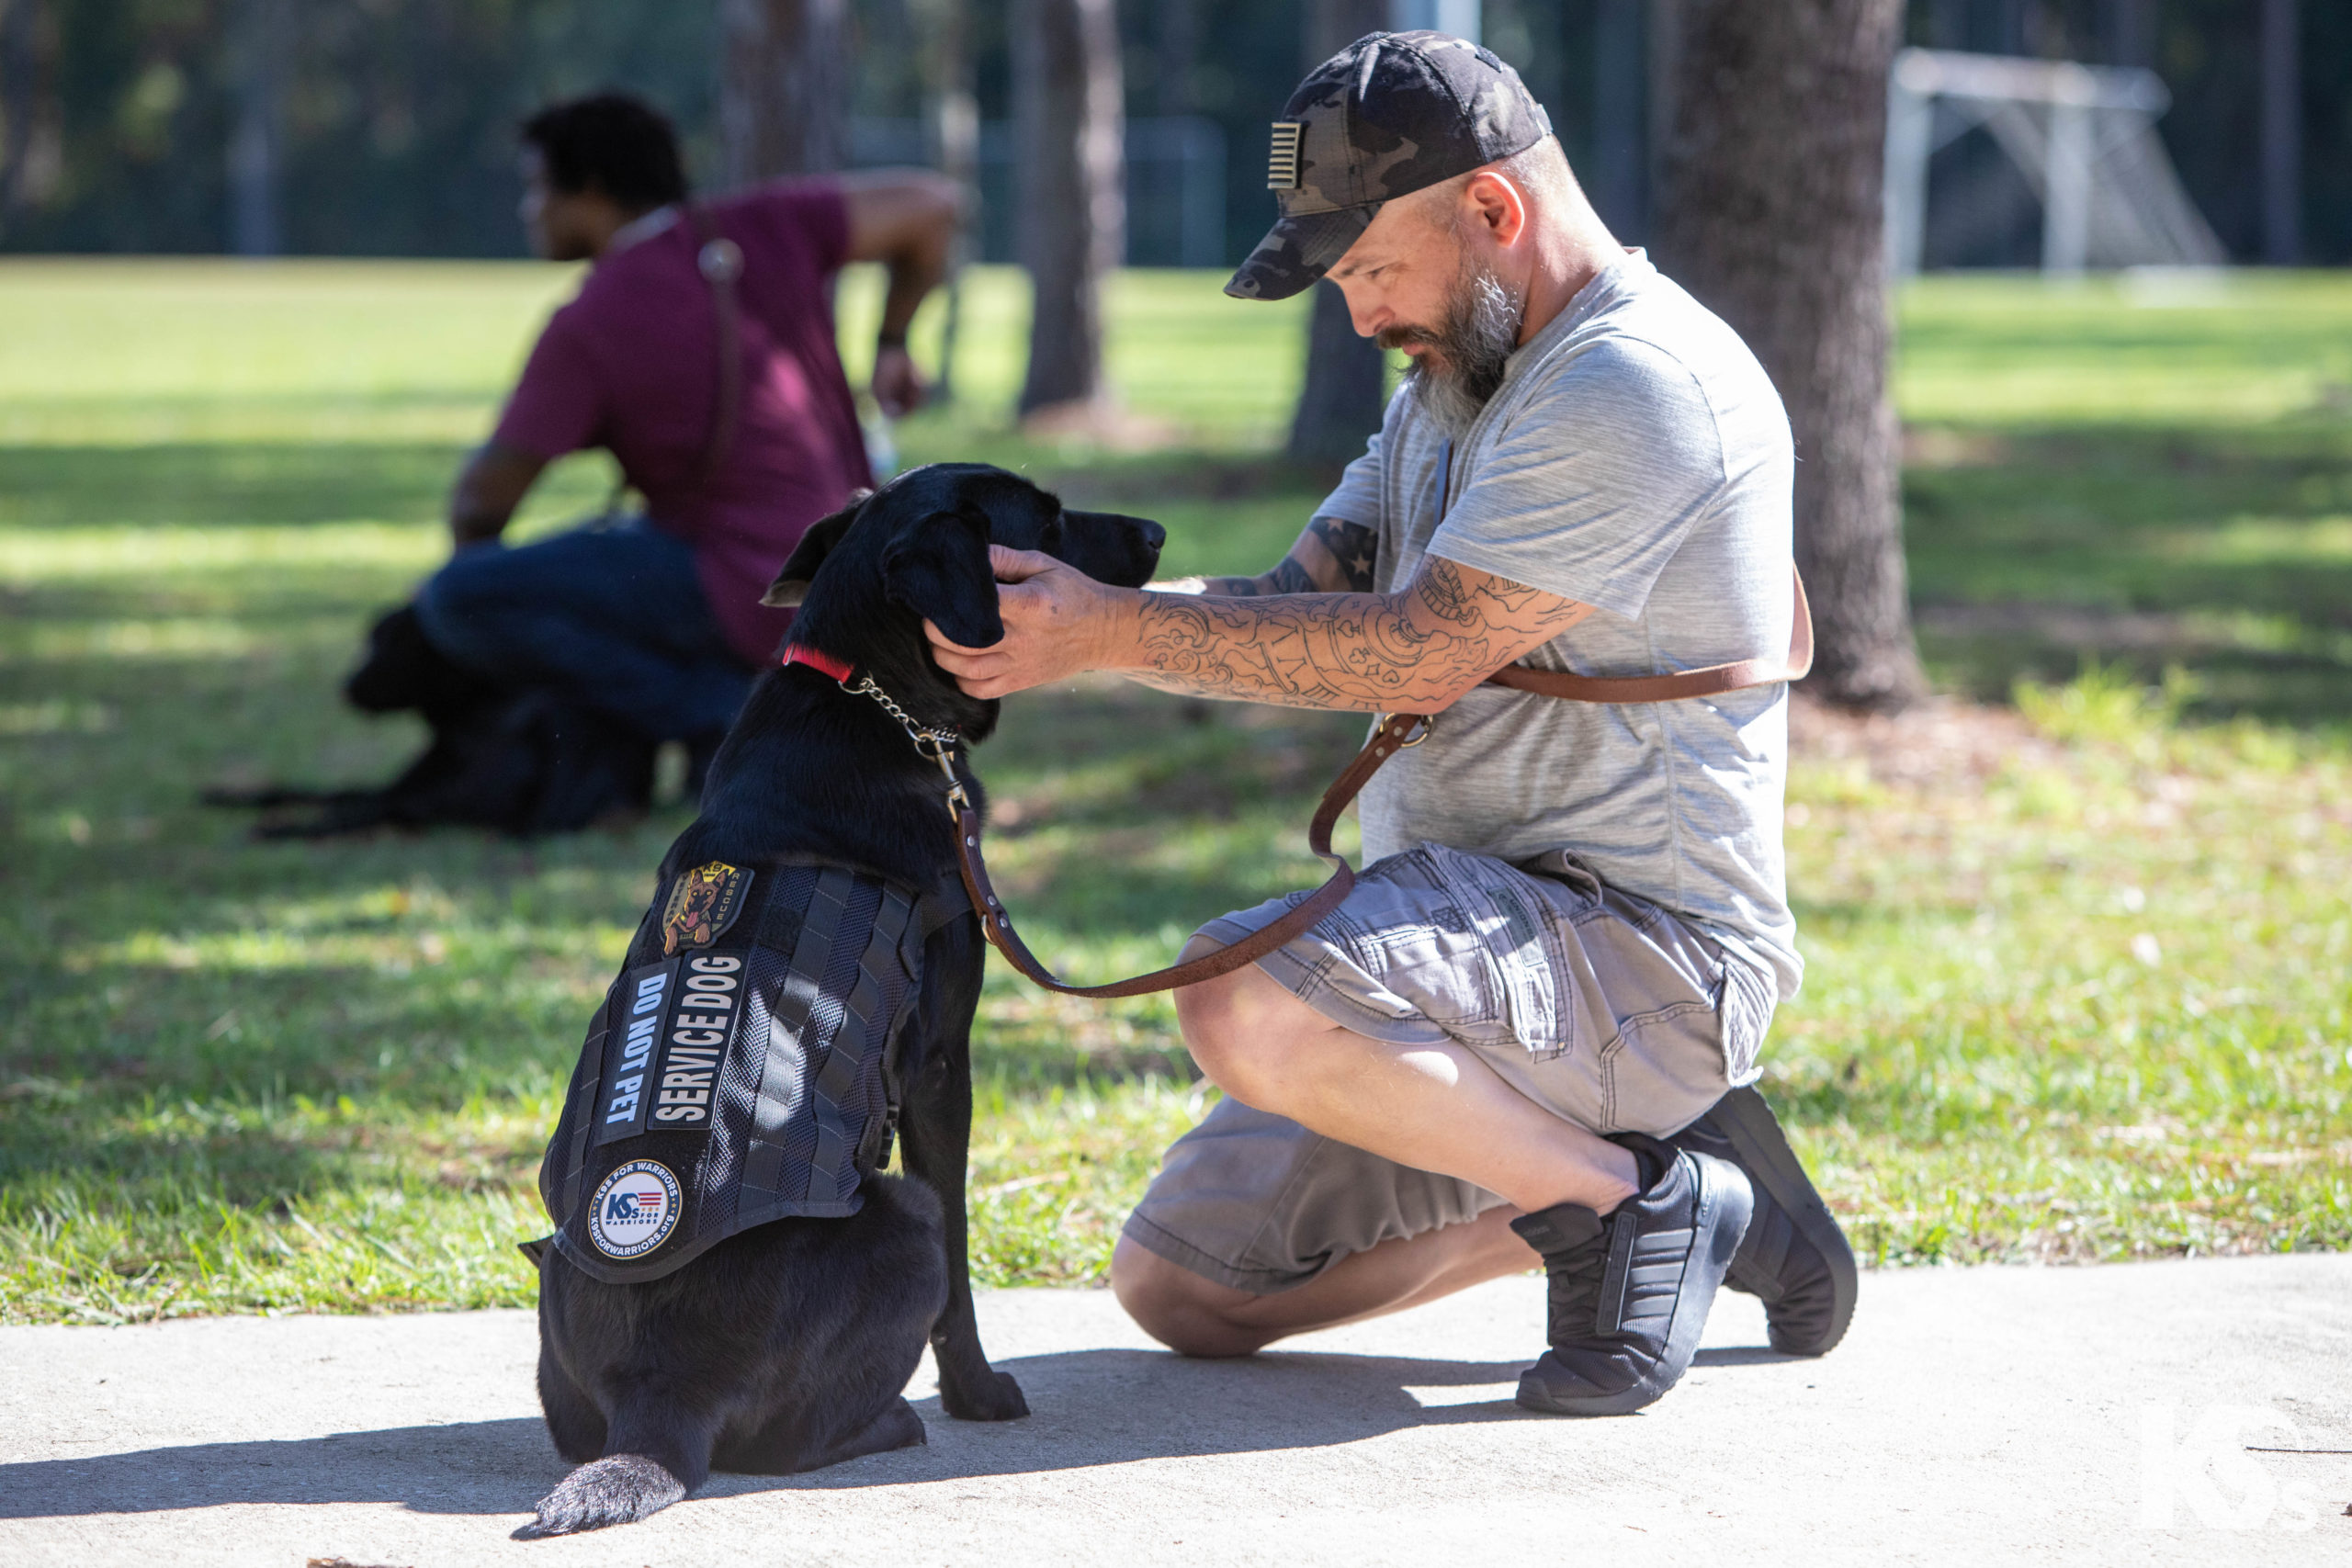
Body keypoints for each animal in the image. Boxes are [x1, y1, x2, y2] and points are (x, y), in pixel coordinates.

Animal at [522, 460, 1166, 1541]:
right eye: (1048, 519)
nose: (1158, 533)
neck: (872, 696)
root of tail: (657, 1398)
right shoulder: (940, 1065)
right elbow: (963, 1257)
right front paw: (979, 1393)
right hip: (899, 1218)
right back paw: (894, 1424)